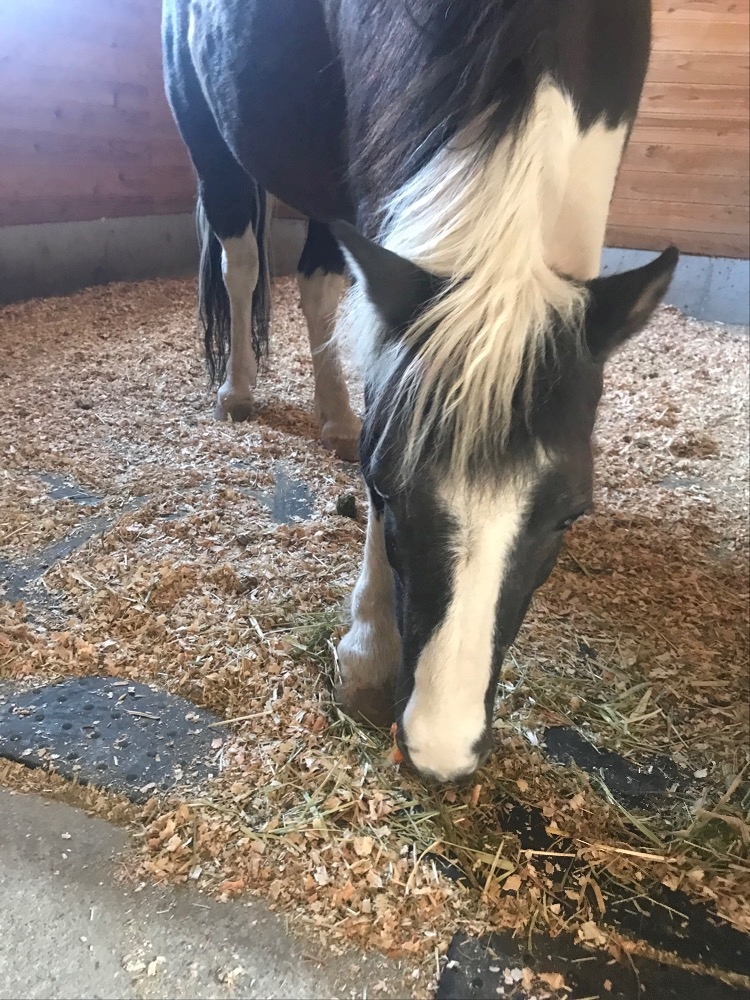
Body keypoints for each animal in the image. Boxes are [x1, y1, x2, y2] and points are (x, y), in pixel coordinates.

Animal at [162, 0, 678, 783]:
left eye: (571, 514)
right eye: (381, 487)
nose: (442, 749)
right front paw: (369, 655)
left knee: (318, 285)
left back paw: (334, 415)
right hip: (215, 148)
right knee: (242, 262)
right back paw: (240, 390)